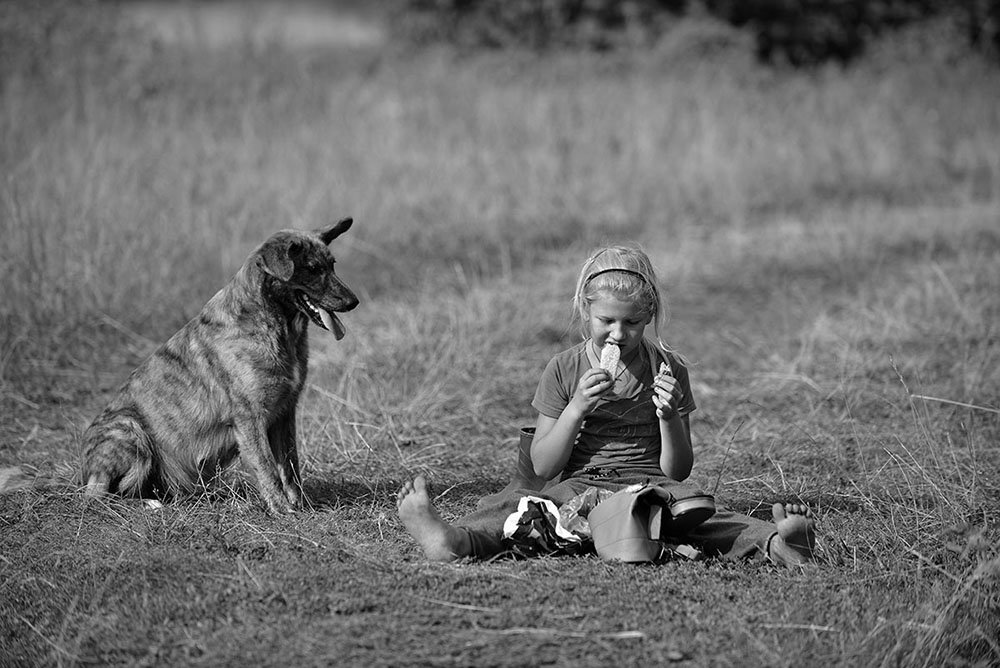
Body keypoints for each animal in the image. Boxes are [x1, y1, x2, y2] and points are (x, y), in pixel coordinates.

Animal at [78, 217, 360, 516]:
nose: (353, 301)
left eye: (332, 265)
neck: (271, 324)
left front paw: (300, 504)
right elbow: (267, 468)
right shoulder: (250, 418)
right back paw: (146, 504)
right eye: (312, 269)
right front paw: (281, 510)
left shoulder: (285, 414)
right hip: (129, 431)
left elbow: (291, 466)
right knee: (98, 497)